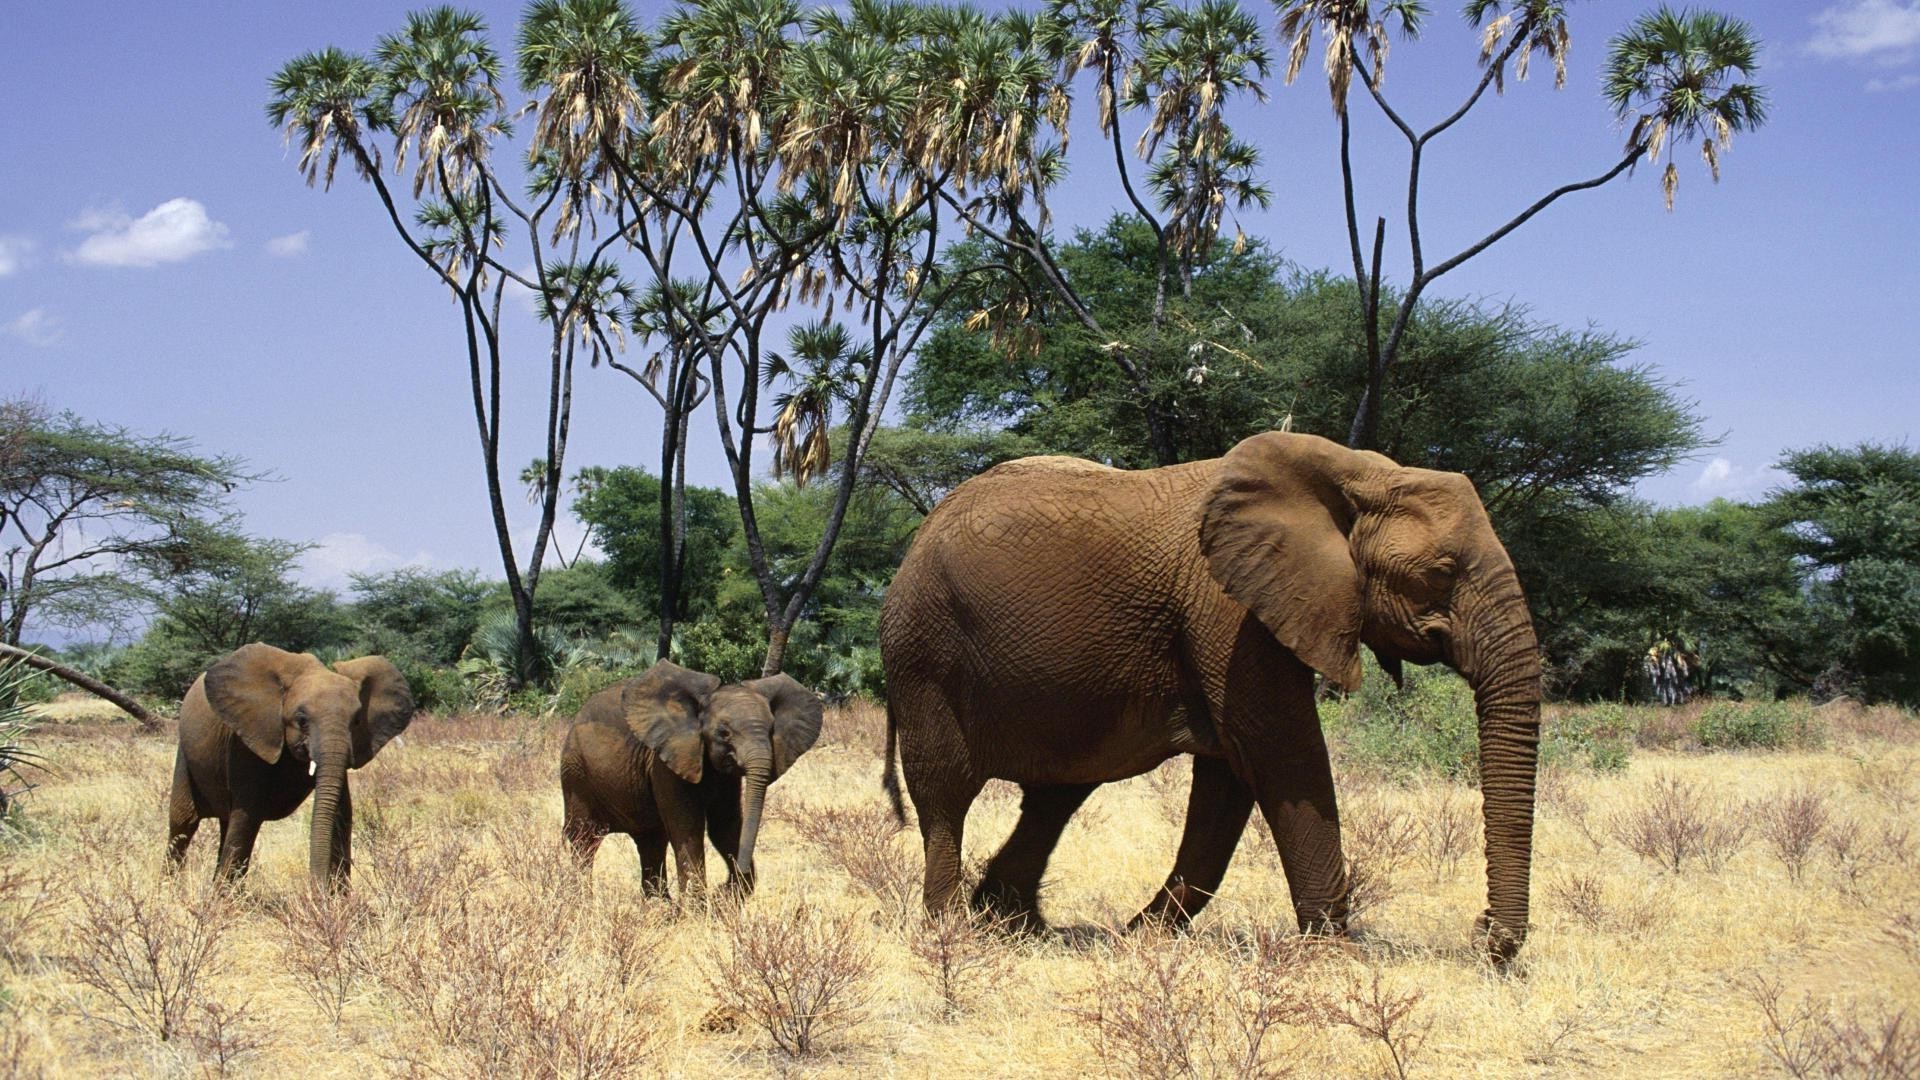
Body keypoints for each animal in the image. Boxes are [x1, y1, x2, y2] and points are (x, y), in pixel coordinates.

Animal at [168, 638, 416, 883]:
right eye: (302, 720)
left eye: (356, 721)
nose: (316, 886)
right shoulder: (246, 739)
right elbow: (247, 816)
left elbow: (341, 814)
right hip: (185, 755)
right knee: (184, 823)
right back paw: (172, 884)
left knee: (225, 822)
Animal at [560, 657, 821, 899]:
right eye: (723, 733)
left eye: (771, 730)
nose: (723, 887)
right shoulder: (666, 761)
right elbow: (688, 826)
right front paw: (698, 907)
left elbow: (724, 826)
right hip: (575, 774)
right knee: (584, 840)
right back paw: (582, 900)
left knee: (651, 842)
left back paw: (659, 906)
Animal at [883, 428, 1543, 957]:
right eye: (1440, 573)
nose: (1486, 936)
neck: (1358, 472)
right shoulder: (1230, 609)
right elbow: (1280, 752)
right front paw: (1338, 958)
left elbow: (1229, 780)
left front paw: (1143, 941)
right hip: (924, 651)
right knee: (945, 793)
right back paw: (952, 931)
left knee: (1057, 795)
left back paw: (1014, 925)